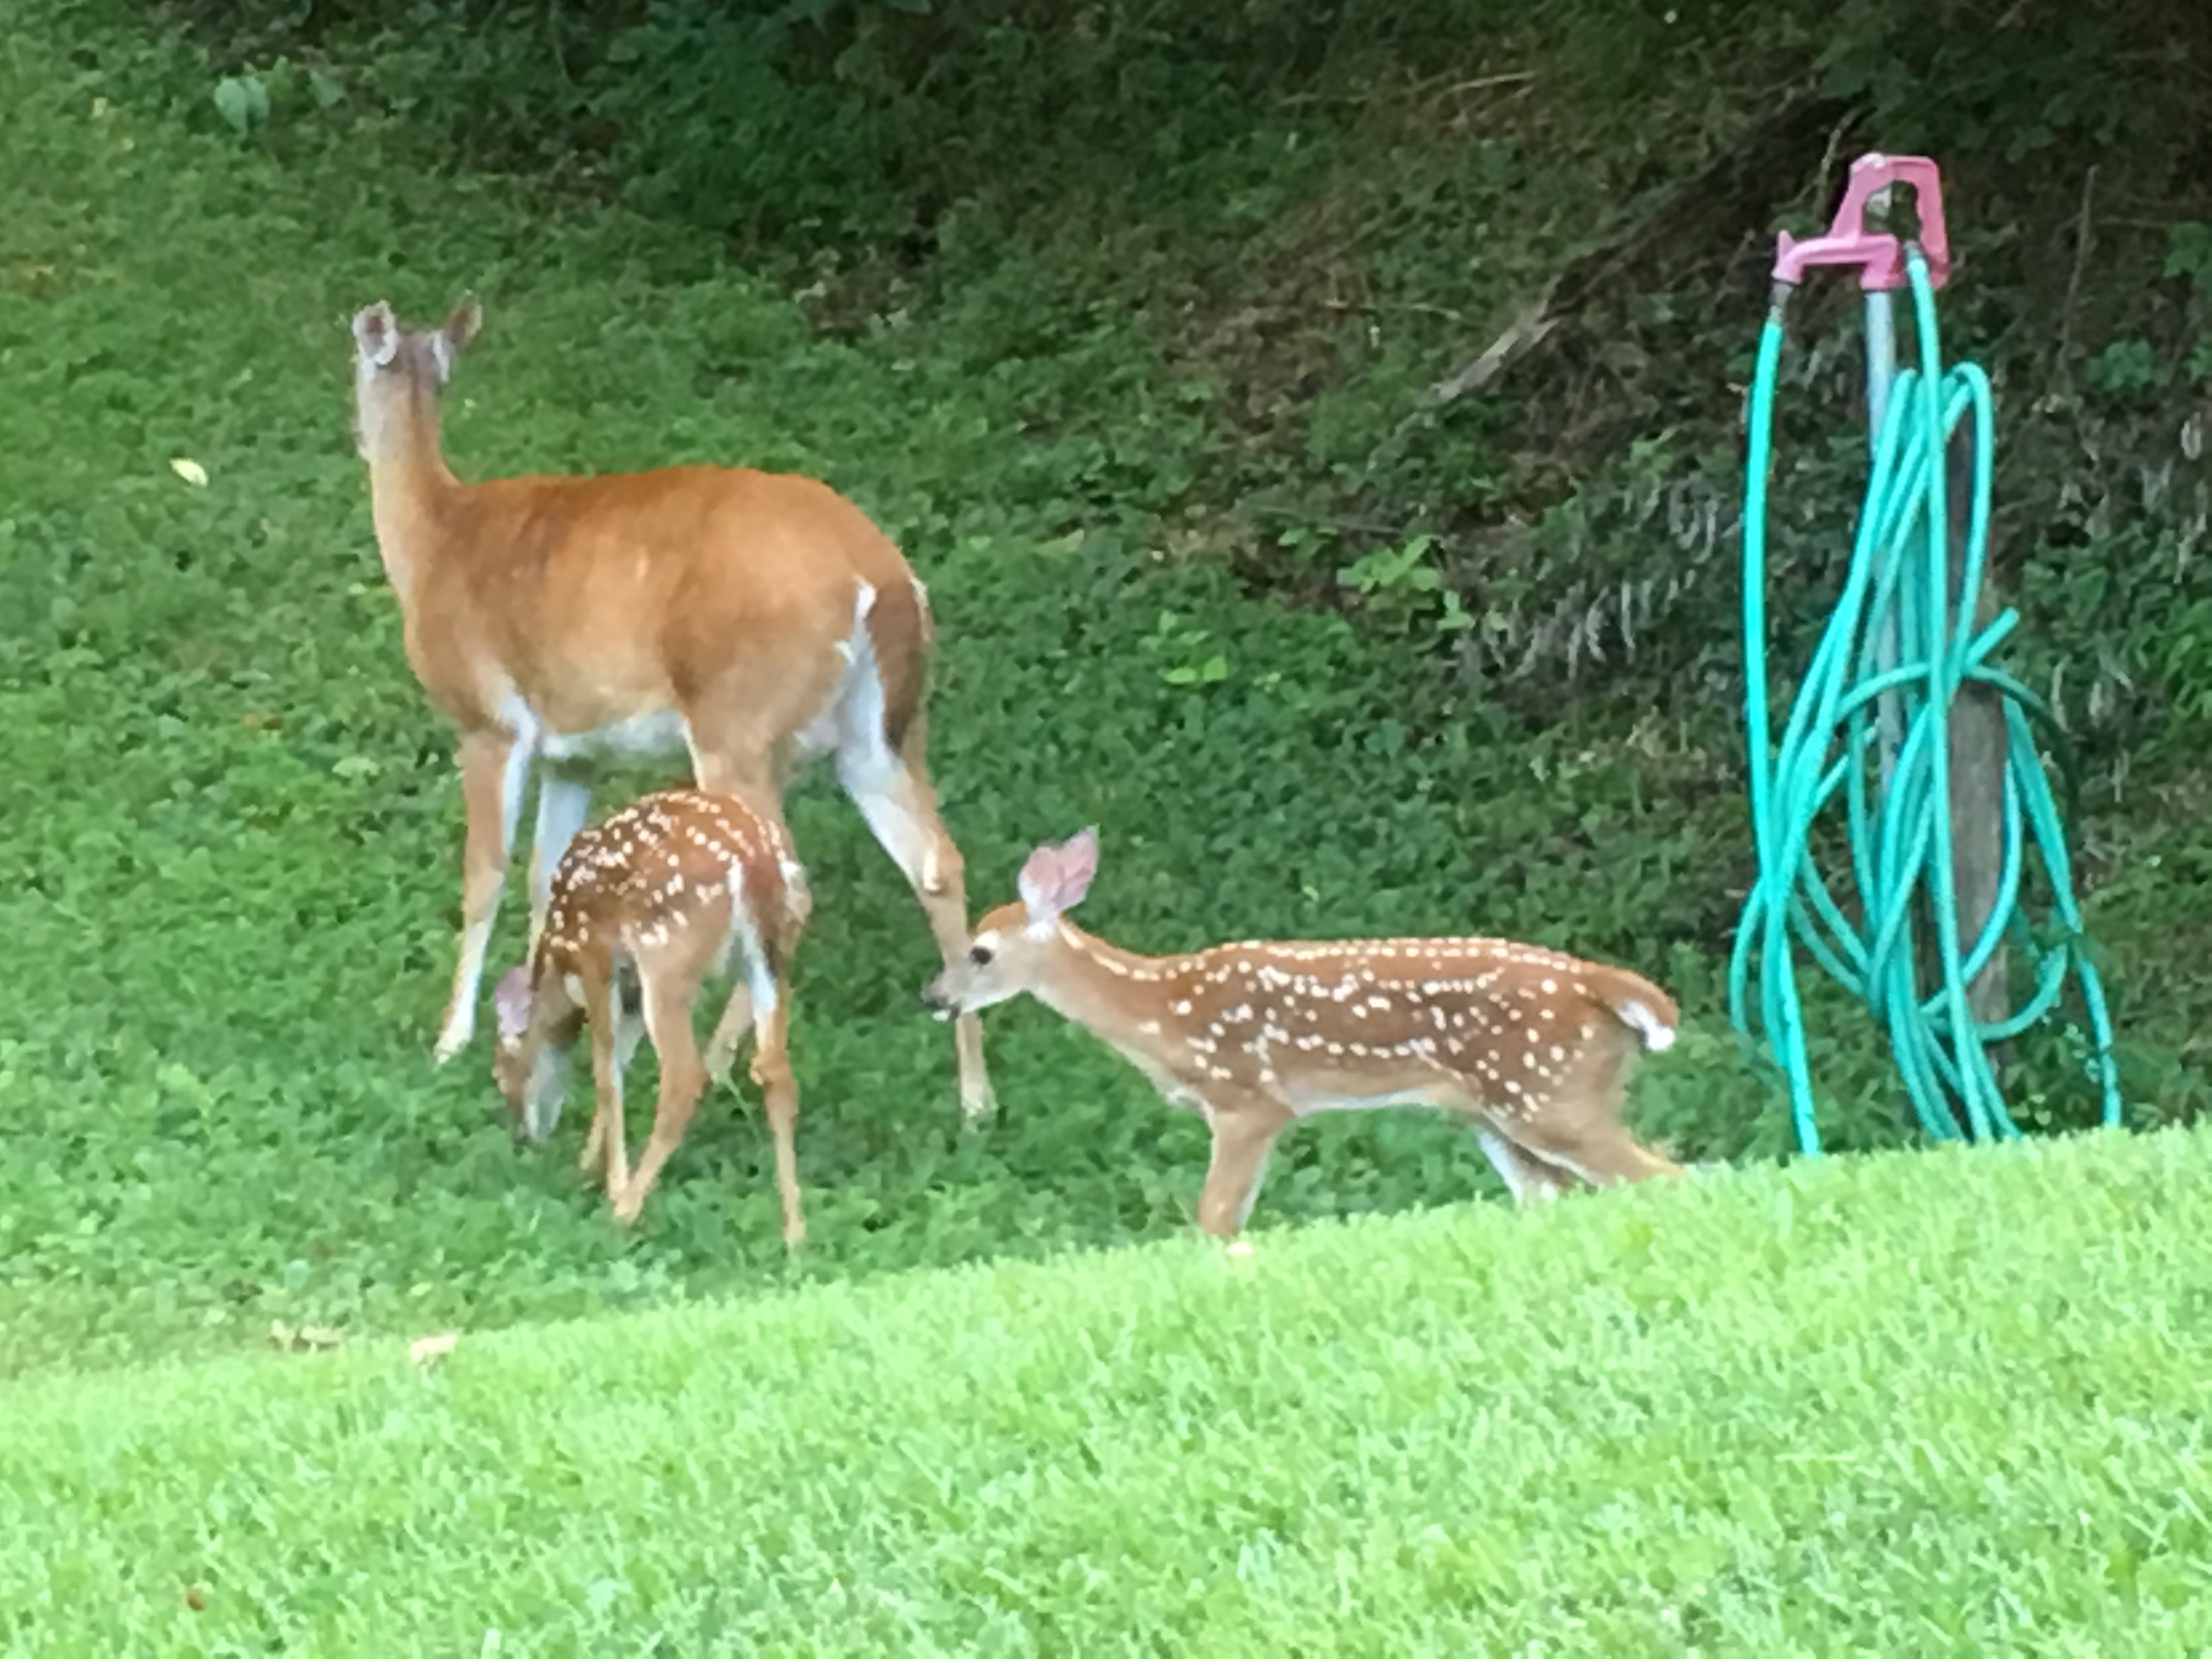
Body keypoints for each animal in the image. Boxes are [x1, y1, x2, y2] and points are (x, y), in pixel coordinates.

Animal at [348, 293, 992, 1121]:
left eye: (354, 356)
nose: (354, 431)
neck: (433, 540)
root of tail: (881, 580)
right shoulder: (573, 751)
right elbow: (546, 877)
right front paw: (539, 1016)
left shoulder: (488, 721)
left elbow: (484, 877)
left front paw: (451, 1040)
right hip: (885, 732)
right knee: (937, 863)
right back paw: (976, 1098)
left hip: (737, 724)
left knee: (789, 883)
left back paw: (716, 1065)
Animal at [490, 786, 812, 1240]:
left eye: (500, 1072)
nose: (521, 1135)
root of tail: (757, 863)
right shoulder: (629, 987)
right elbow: (620, 1061)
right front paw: (588, 1167)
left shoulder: (595, 955)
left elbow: (606, 1073)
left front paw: (610, 1184)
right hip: (770, 955)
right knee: (776, 1072)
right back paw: (796, 1232)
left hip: (667, 954)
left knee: (683, 1077)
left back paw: (625, 1212)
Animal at [920, 828, 1687, 1239]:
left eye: (979, 953)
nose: (933, 997)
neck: (1160, 1008)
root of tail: (1601, 987)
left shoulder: (1247, 1098)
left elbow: (1215, 1217)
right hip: (1493, 1113)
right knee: (1561, 1193)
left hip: (1547, 1091)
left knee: (1665, 1175)